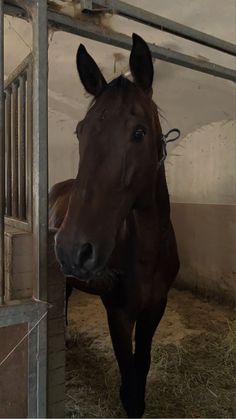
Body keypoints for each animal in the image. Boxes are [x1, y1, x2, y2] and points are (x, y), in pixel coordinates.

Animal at [49, 34, 179, 418]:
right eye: (80, 132)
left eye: (139, 133)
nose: (73, 249)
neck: (147, 251)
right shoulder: (119, 313)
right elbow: (128, 378)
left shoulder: (155, 309)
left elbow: (142, 364)